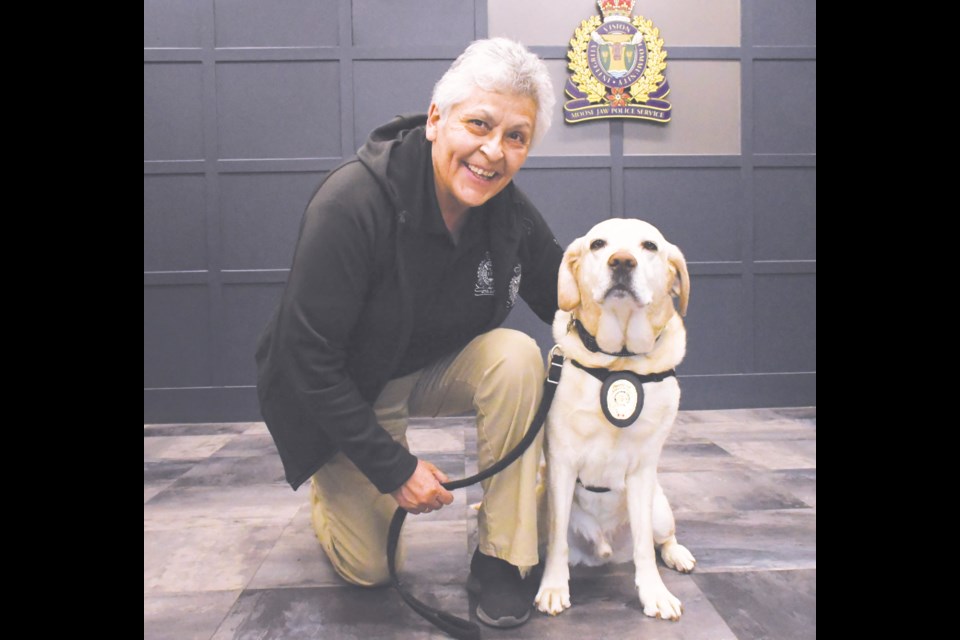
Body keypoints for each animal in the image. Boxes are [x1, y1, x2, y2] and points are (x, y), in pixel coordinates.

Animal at [532, 216, 696, 620]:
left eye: (649, 246)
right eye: (598, 244)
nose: (622, 262)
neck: (618, 360)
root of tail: (603, 551)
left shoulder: (642, 469)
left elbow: (643, 549)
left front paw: (655, 593)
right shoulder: (560, 464)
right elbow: (557, 541)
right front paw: (553, 587)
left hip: (659, 507)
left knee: (660, 538)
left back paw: (677, 554)